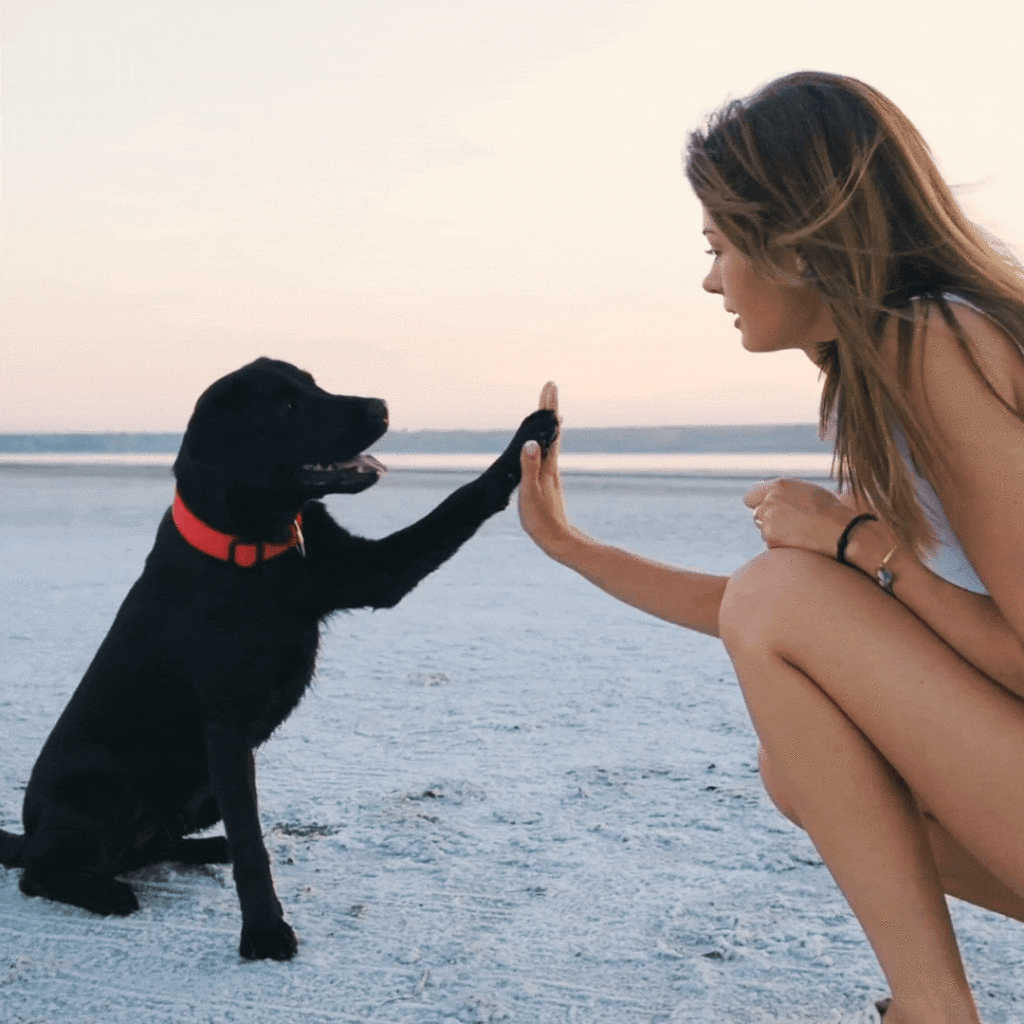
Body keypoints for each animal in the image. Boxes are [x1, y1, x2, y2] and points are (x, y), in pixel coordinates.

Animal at [0, 360, 557, 958]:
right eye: (287, 406)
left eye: (314, 385)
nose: (382, 407)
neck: (253, 547)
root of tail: (30, 834)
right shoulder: (225, 729)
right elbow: (253, 846)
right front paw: (265, 933)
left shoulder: (372, 573)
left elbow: (461, 500)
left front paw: (531, 432)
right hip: (120, 795)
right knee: (41, 875)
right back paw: (105, 893)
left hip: (199, 795)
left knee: (154, 845)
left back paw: (205, 849)